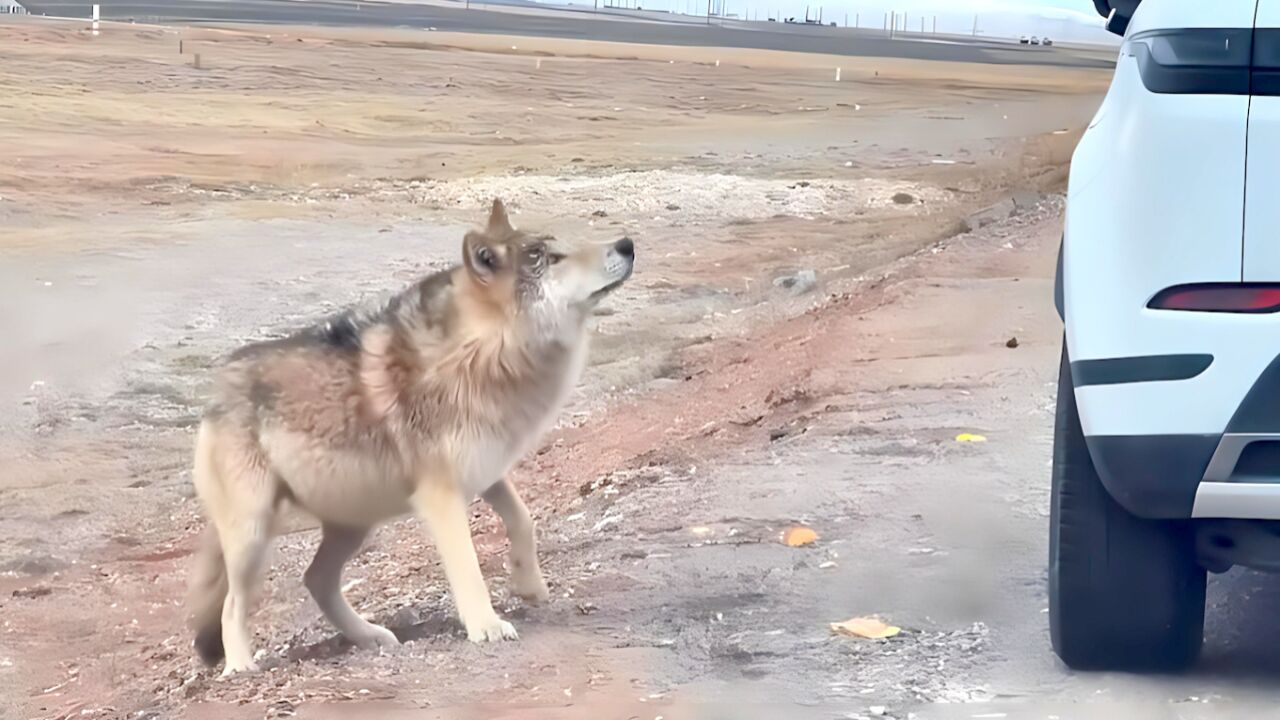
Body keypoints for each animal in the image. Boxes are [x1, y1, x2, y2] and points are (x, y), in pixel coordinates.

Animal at [185, 198, 634, 671]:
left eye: (558, 249)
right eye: (550, 258)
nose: (627, 244)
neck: (481, 353)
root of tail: (216, 391)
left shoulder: (486, 468)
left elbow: (523, 520)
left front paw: (529, 585)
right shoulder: (441, 496)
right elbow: (468, 566)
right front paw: (487, 626)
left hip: (354, 524)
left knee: (316, 580)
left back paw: (370, 635)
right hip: (255, 534)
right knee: (233, 604)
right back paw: (240, 664)